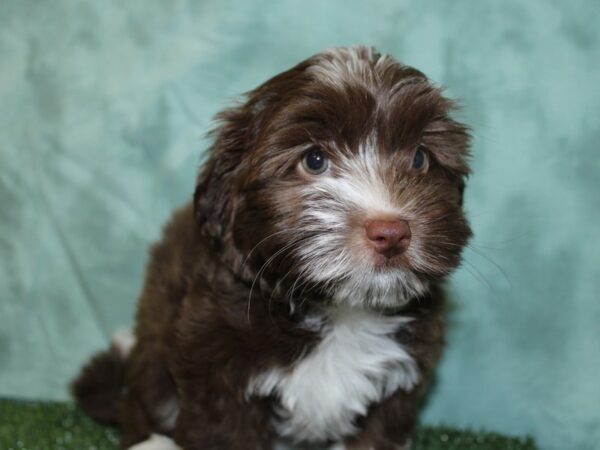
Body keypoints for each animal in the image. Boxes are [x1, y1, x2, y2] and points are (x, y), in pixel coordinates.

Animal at [71, 46, 474, 450]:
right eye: (314, 160)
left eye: (420, 158)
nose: (391, 232)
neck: (340, 310)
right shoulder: (216, 374)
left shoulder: (397, 388)